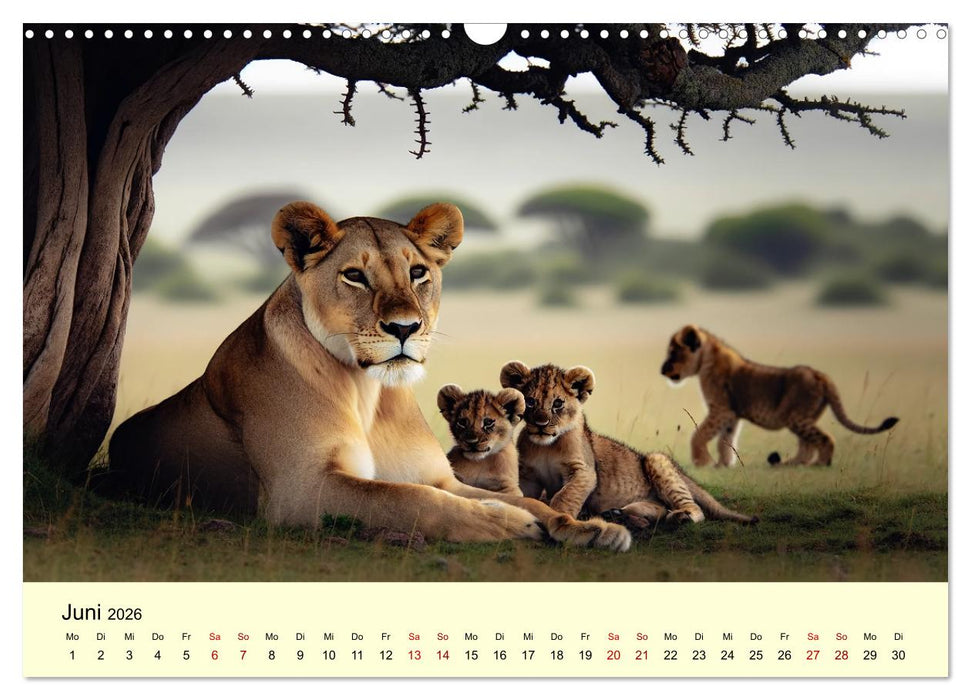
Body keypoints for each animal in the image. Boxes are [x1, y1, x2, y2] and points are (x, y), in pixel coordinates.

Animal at [104, 201, 631, 551]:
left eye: (418, 273)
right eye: (355, 276)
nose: (405, 328)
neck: (369, 392)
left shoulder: (438, 476)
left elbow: (531, 503)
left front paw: (591, 528)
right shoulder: (301, 490)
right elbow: (409, 500)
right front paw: (506, 523)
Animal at [500, 361, 757, 526]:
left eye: (558, 403)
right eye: (530, 402)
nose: (541, 423)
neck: (545, 446)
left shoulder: (584, 471)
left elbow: (564, 496)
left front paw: (558, 517)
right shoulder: (529, 474)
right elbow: (524, 495)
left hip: (657, 460)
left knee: (694, 508)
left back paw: (681, 517)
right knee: (659, 507)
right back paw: (619, 513)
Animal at [660, 324, 899, 467]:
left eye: (673, 353)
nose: (662, 370)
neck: (706, 360)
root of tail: (820, 374)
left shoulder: (721, 410)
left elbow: (700, 434)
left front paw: (701, 462)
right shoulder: (732, 414)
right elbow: (725, 440)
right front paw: (723, 465)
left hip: (795, 416)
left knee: (823, 439)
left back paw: (818, 464)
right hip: (805, 416)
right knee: (807, 444)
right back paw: (792, 464)